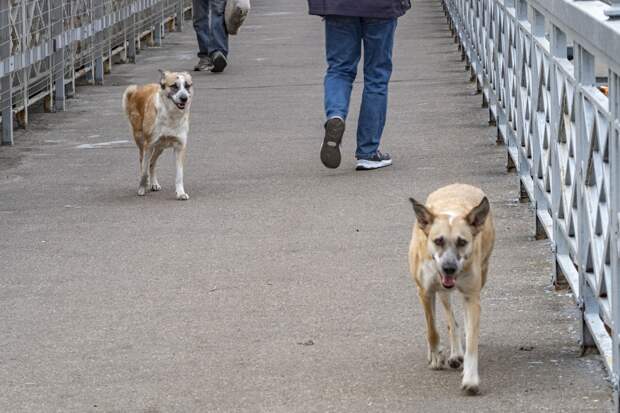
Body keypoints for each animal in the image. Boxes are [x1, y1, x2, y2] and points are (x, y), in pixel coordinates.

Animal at [123, 70, 194, 200]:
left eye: (187, 86)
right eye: (174, 86)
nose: (184, 98)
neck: (171, 116)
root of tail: (137, 90)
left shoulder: (180, 147)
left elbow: (179, 174)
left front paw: (180, 193)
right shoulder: (148, 145)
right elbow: (144, 171)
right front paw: (141, 189)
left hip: (160, 147)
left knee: (152, 163)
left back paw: (154, 184)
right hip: (142, 142)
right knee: (143, 163)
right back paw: (145, 184)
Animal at [410, 183, 496, 392]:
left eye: (462, 242)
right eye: (438, 240)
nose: (449, 268)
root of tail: (458, 184)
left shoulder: (472, 295)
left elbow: (472, 339)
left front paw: (470, 378)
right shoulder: (424, 291)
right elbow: (432, 329)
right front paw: (435, 355)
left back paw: (458, 353)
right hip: (440, 291)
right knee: (447, 317)